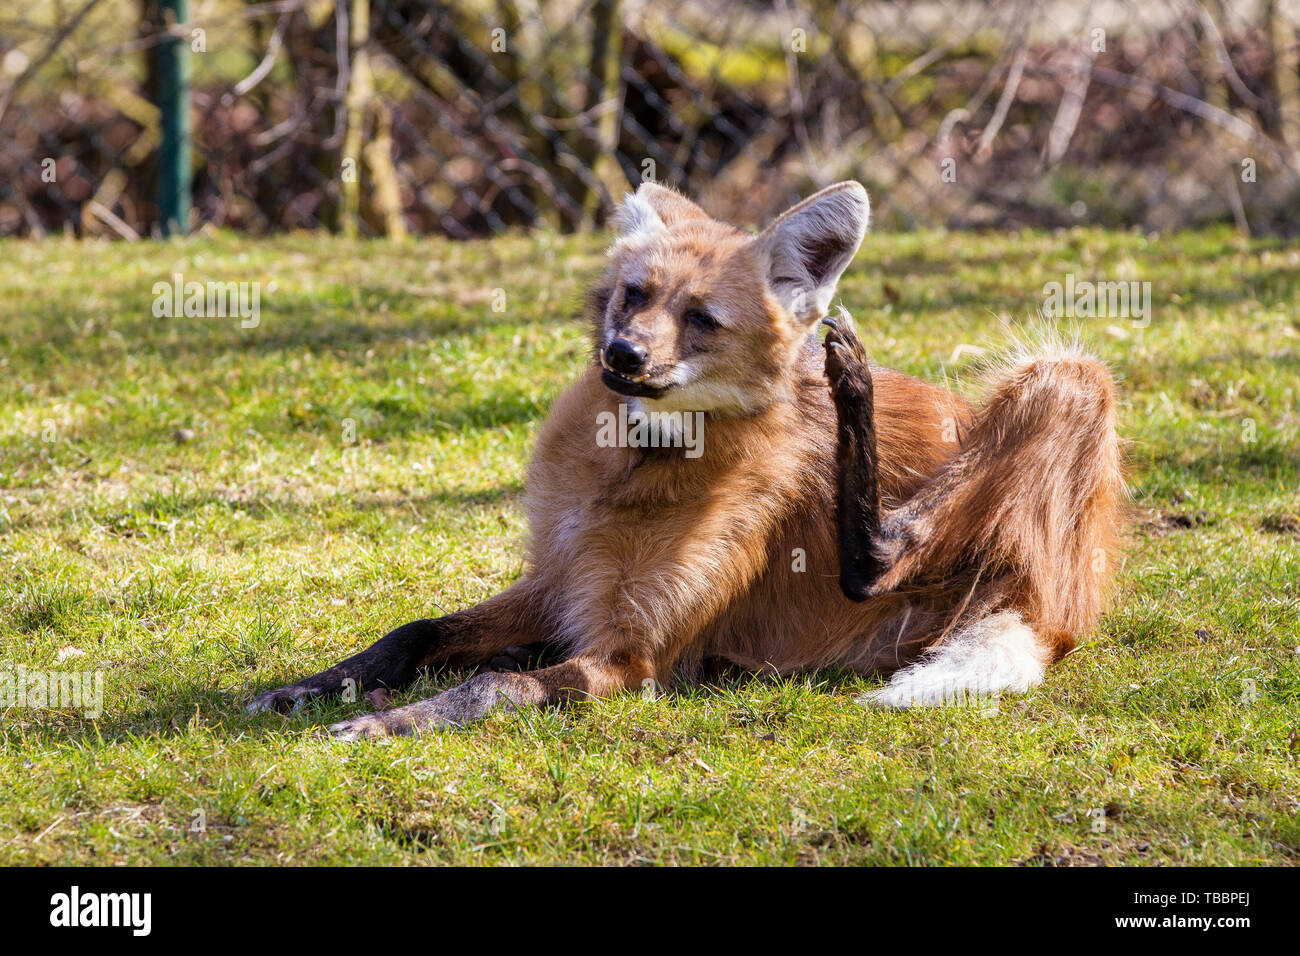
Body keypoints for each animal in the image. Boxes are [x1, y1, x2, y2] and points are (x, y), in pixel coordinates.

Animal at [248, 180, 1123, 738]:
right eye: (634, 295)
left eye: (701, 319)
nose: (623, 355)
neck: (637, 466)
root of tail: (1054, 613)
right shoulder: (558, 582)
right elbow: (414, 631)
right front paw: (304, 690)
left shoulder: (629, 656)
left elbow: (494, 686)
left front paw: (382, 723)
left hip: (1066, 374)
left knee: (882, 554)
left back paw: (855, 393)